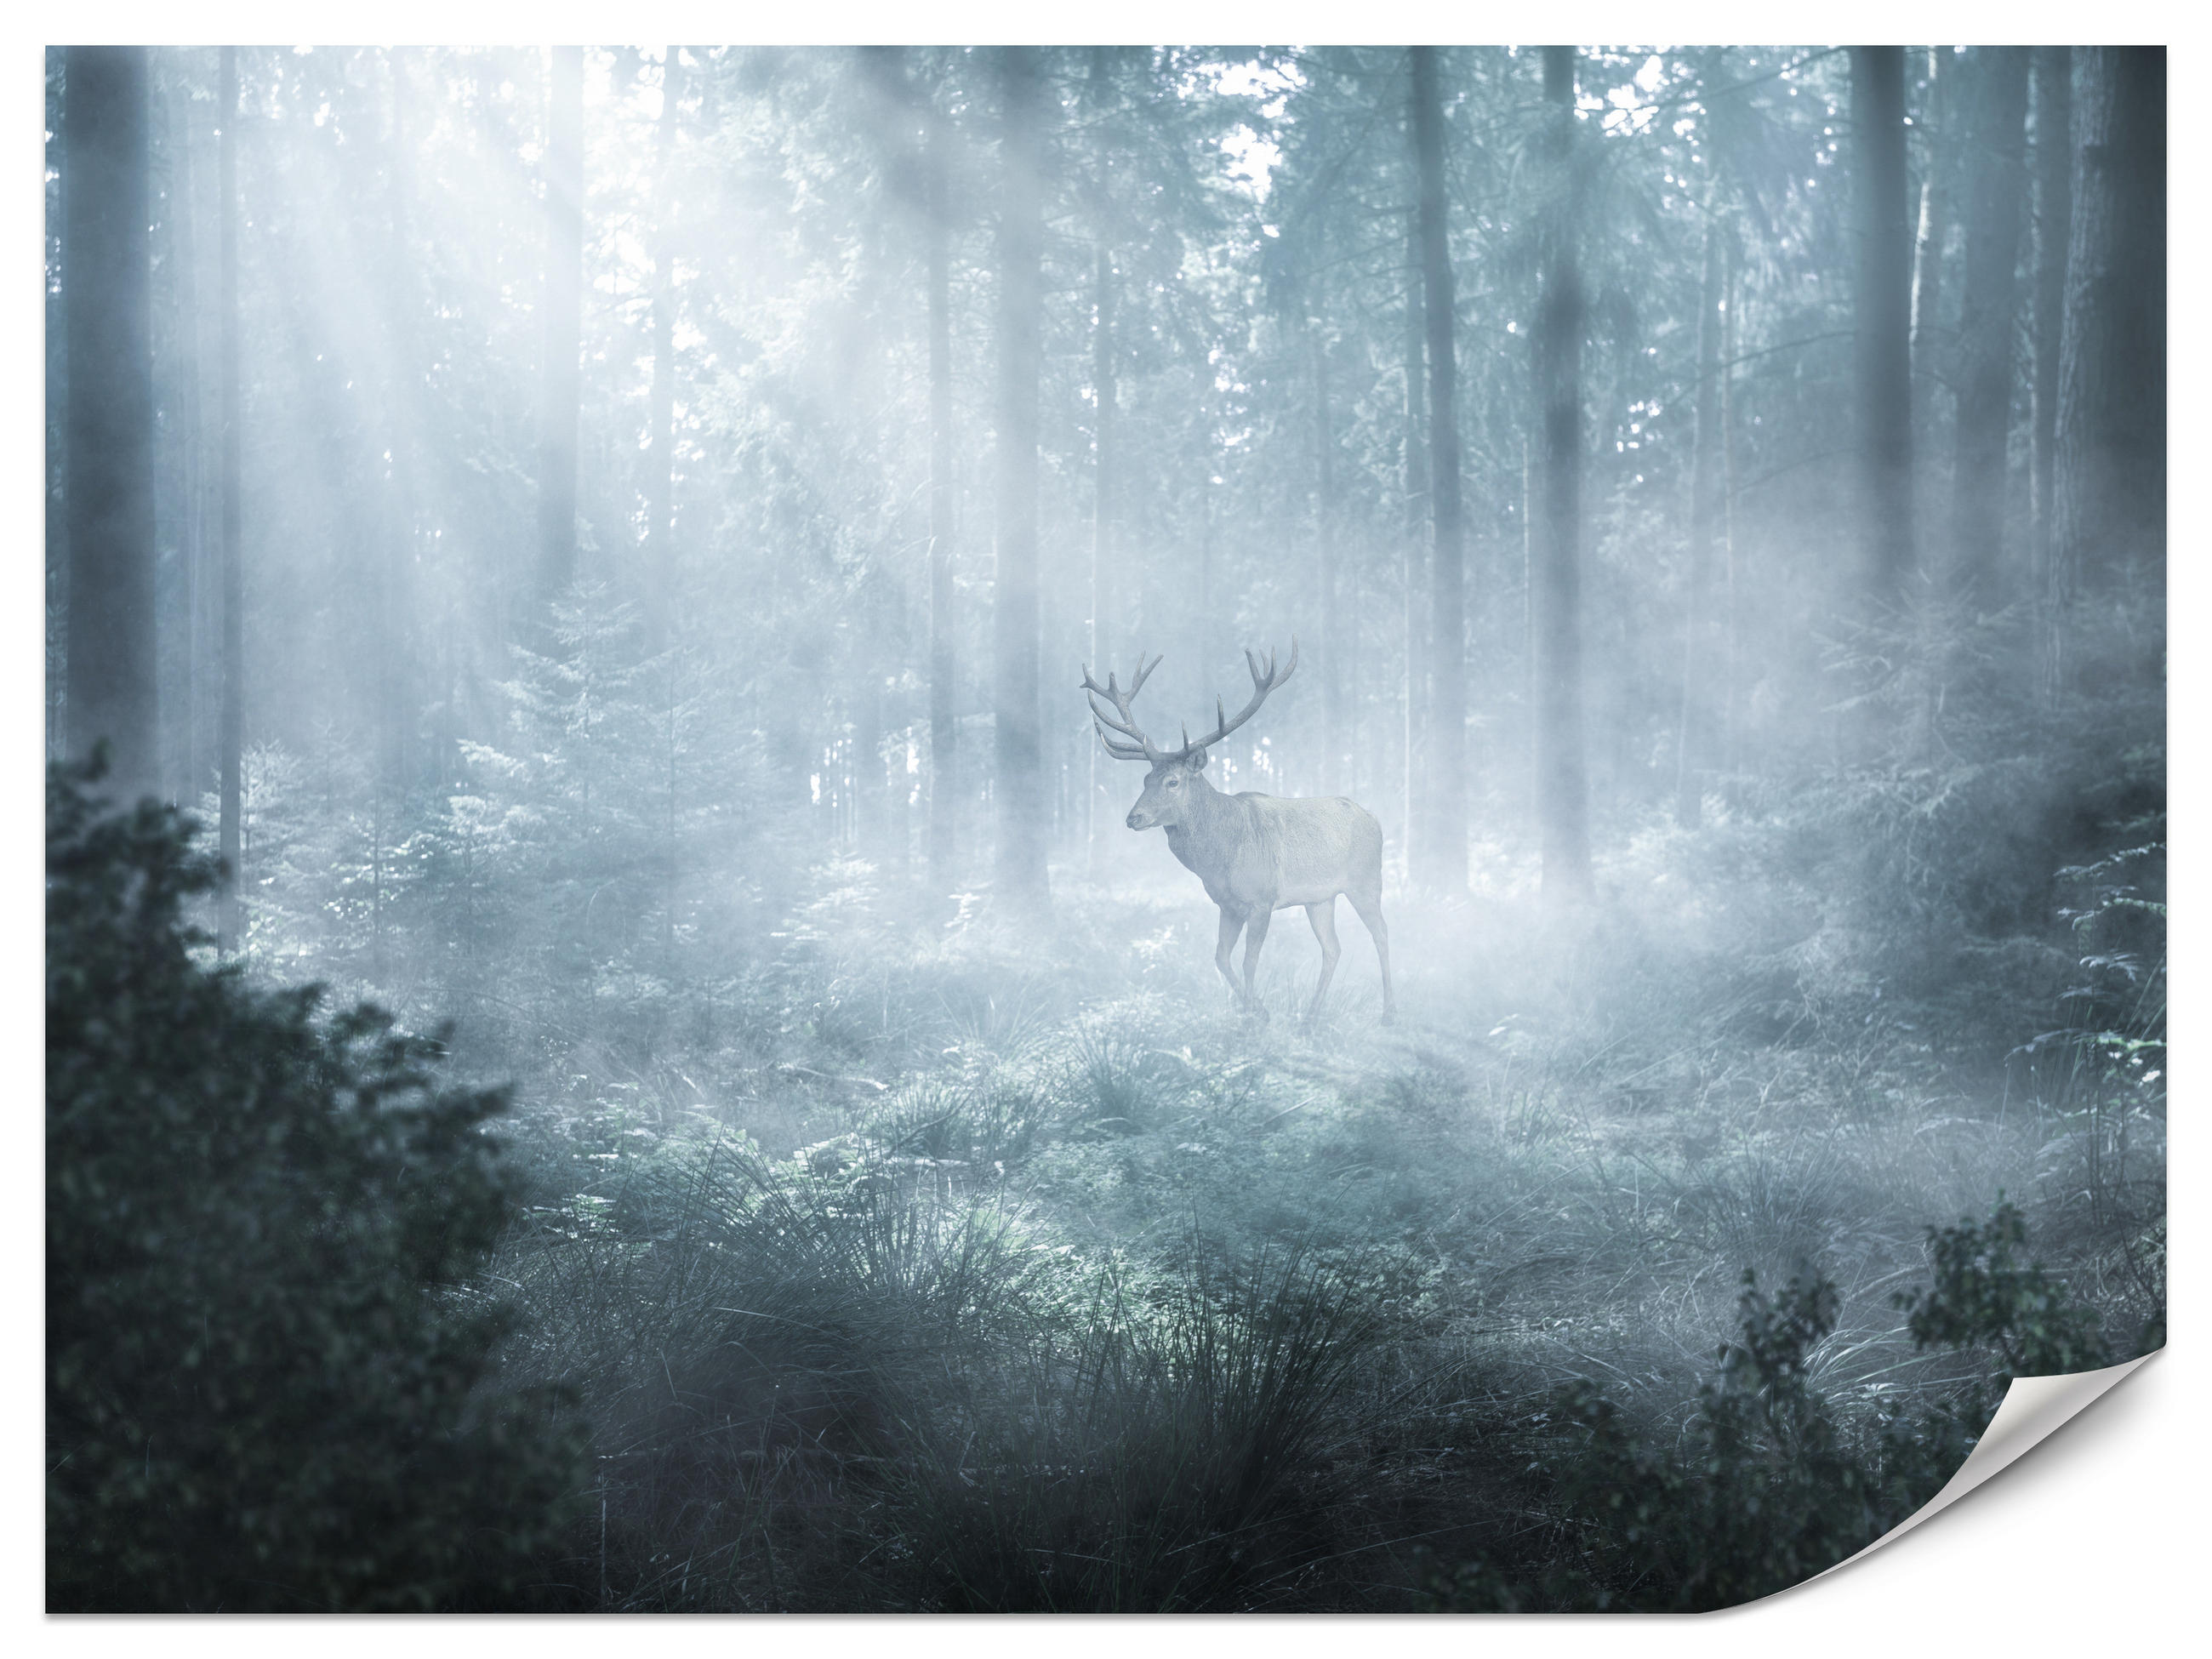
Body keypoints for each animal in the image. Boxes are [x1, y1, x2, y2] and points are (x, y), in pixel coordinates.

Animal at [1083, 642, 1394, 1025]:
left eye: (1173, 781)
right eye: (1145, 779)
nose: (1133, 817)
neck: (1222, 859)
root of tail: (1375, 819)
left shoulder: (1262, 899)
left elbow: (1249, 961)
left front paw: (1255, 1017)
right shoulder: (1227, 905)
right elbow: (1220, 958)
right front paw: (1256, 1009)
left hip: (1366, 880)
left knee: (1382, 933)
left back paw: (1389, 1013)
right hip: (1321, 898)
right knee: (1333, 948)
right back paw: (1309, 1017)